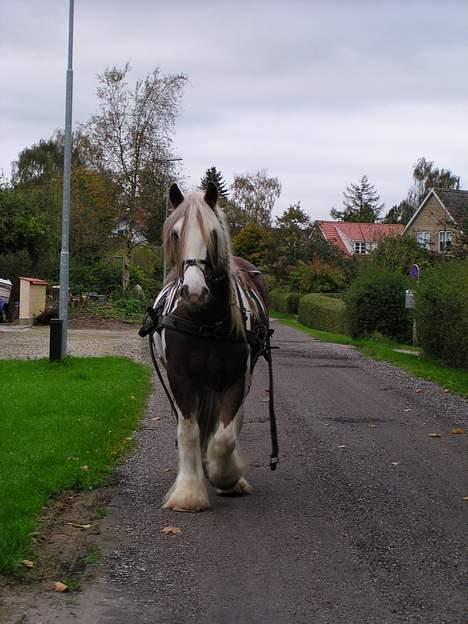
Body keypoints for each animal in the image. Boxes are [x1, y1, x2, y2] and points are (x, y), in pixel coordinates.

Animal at [144, 180, 272, 512]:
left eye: (213, 233)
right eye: (176, 233)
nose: (194, 291)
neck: (205, 320)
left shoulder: (237, 380)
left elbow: (224, 438)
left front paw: (225, 476)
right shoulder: (179, 377)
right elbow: (189, 431)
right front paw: (189, 493)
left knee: (230, 423)